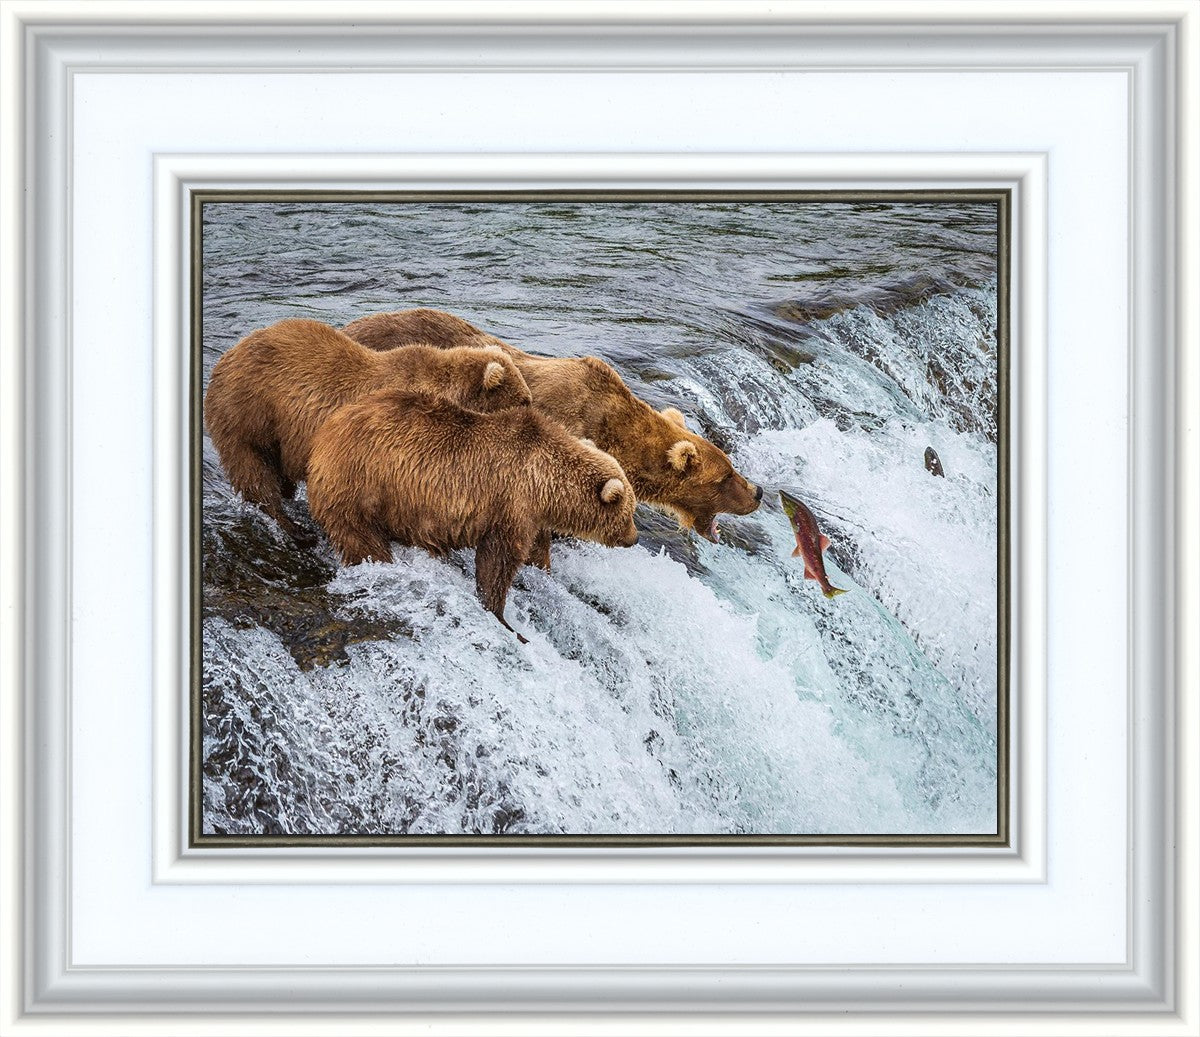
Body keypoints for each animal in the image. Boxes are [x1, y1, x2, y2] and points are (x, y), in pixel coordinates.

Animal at [203, 317, 532, 543]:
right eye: (524, 400)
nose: (533, 413)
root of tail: (226, 357)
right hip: (249, 413)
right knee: (254, 471)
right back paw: (293, 528)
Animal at [305, 388, 640, 641]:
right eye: (629, 512)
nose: (634, 538)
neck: (545, 483)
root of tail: (324, 434)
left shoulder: (532, 516)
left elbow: (535, 550)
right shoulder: (510, 503)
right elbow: (498, 561)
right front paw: (503, 617)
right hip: (361, 485)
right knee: (361, 538)